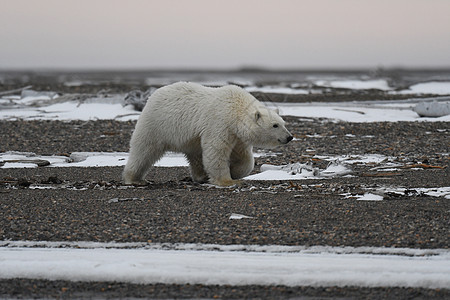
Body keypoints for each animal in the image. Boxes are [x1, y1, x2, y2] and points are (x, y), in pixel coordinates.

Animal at [121, 81, 294, 185]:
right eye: (275, 125)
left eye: (283, 123)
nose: (289, 137)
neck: (235, 110)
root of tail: (153, 95)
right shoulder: (220, 123)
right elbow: (216, 151)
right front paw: (227, 180)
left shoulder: (237, 135)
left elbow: (244, 157)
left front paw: (235, 172)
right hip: (156, 125)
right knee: (143, 150)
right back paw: (134, 178)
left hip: (190, 138)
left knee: (196, 155)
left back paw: (200, 176)